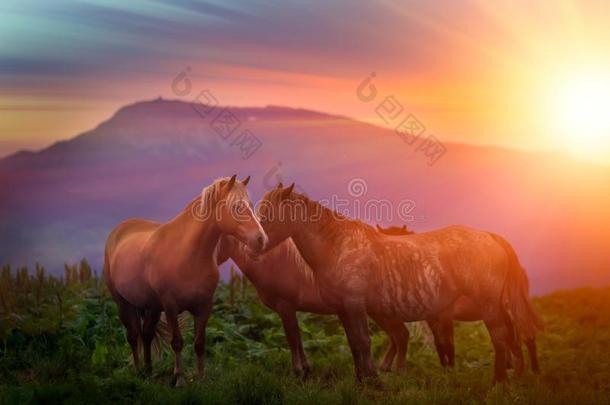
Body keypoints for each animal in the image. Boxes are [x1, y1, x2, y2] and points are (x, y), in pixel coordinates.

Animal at [104, 174, 266, 386]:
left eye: (251, 205)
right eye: (237, 207)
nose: (261, 239)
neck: (188, 255)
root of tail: (119, 230)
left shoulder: (204, 306)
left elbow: (199, 343)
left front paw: (201, 378)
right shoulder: (171, 307)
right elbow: (177, 343)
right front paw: (180, 379)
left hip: (151, 307)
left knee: (146, 335)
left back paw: (148, 371)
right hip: (123, 303)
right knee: (133, 336)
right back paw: (138, 371)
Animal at [214, 234, 408, 376]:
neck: (269, 263)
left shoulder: (285, 307)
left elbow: (292, 338)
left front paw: (297, 371)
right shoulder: (290, 310)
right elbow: (299, 339)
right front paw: (306, 369)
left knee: (400, 335)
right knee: (398, 335)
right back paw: (385, 368)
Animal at [376, 224, 540, 372]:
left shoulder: (443, 315)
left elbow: (445, 343)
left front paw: (450, 370)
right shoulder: (433, 318)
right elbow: (438, 342)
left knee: (524, 335)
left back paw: (530, 370)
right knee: (514, 337)